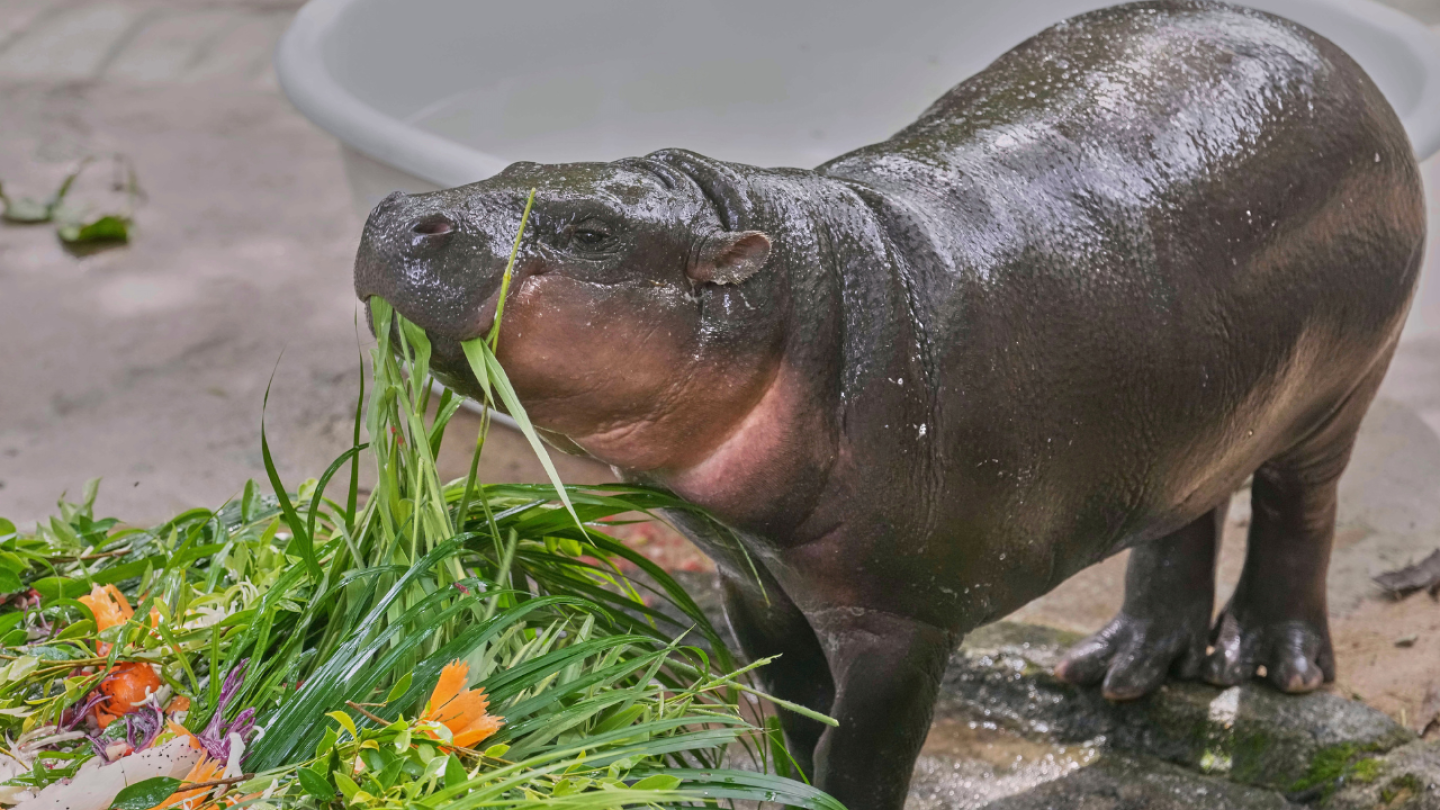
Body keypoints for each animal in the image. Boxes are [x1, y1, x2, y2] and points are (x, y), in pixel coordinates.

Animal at [353, 1, 1426, 807]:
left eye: (589, 231)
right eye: (512, 169)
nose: (401, 212)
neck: (805, 302)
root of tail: (1328, 49)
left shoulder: (899, 621)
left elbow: (859, 751)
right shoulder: (752, 581)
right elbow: (792, 712)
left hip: (1341, 390)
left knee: (1297, 507)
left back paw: (1273, 664)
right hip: (1198, 407)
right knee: (1184, 513)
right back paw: (1119, 670)